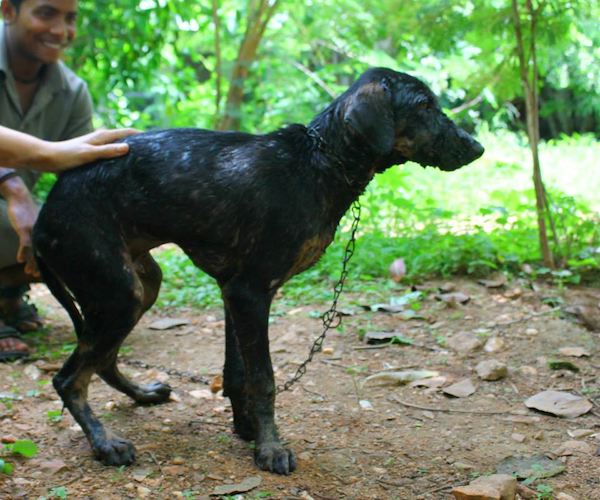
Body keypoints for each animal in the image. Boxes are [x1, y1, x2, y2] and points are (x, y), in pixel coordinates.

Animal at [31, 66, 482, 472]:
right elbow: (264, 379)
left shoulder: (232, 291)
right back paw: (105, 444)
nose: (477, 147)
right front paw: (270, 449)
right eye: (424, 105)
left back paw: (141, 395)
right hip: (118, 295)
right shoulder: (250, 292)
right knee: (68, 379)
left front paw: (246, 428)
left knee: (102, 360)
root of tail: (41, 220)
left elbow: (238, 375)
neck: (319, 162)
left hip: (140, 287)